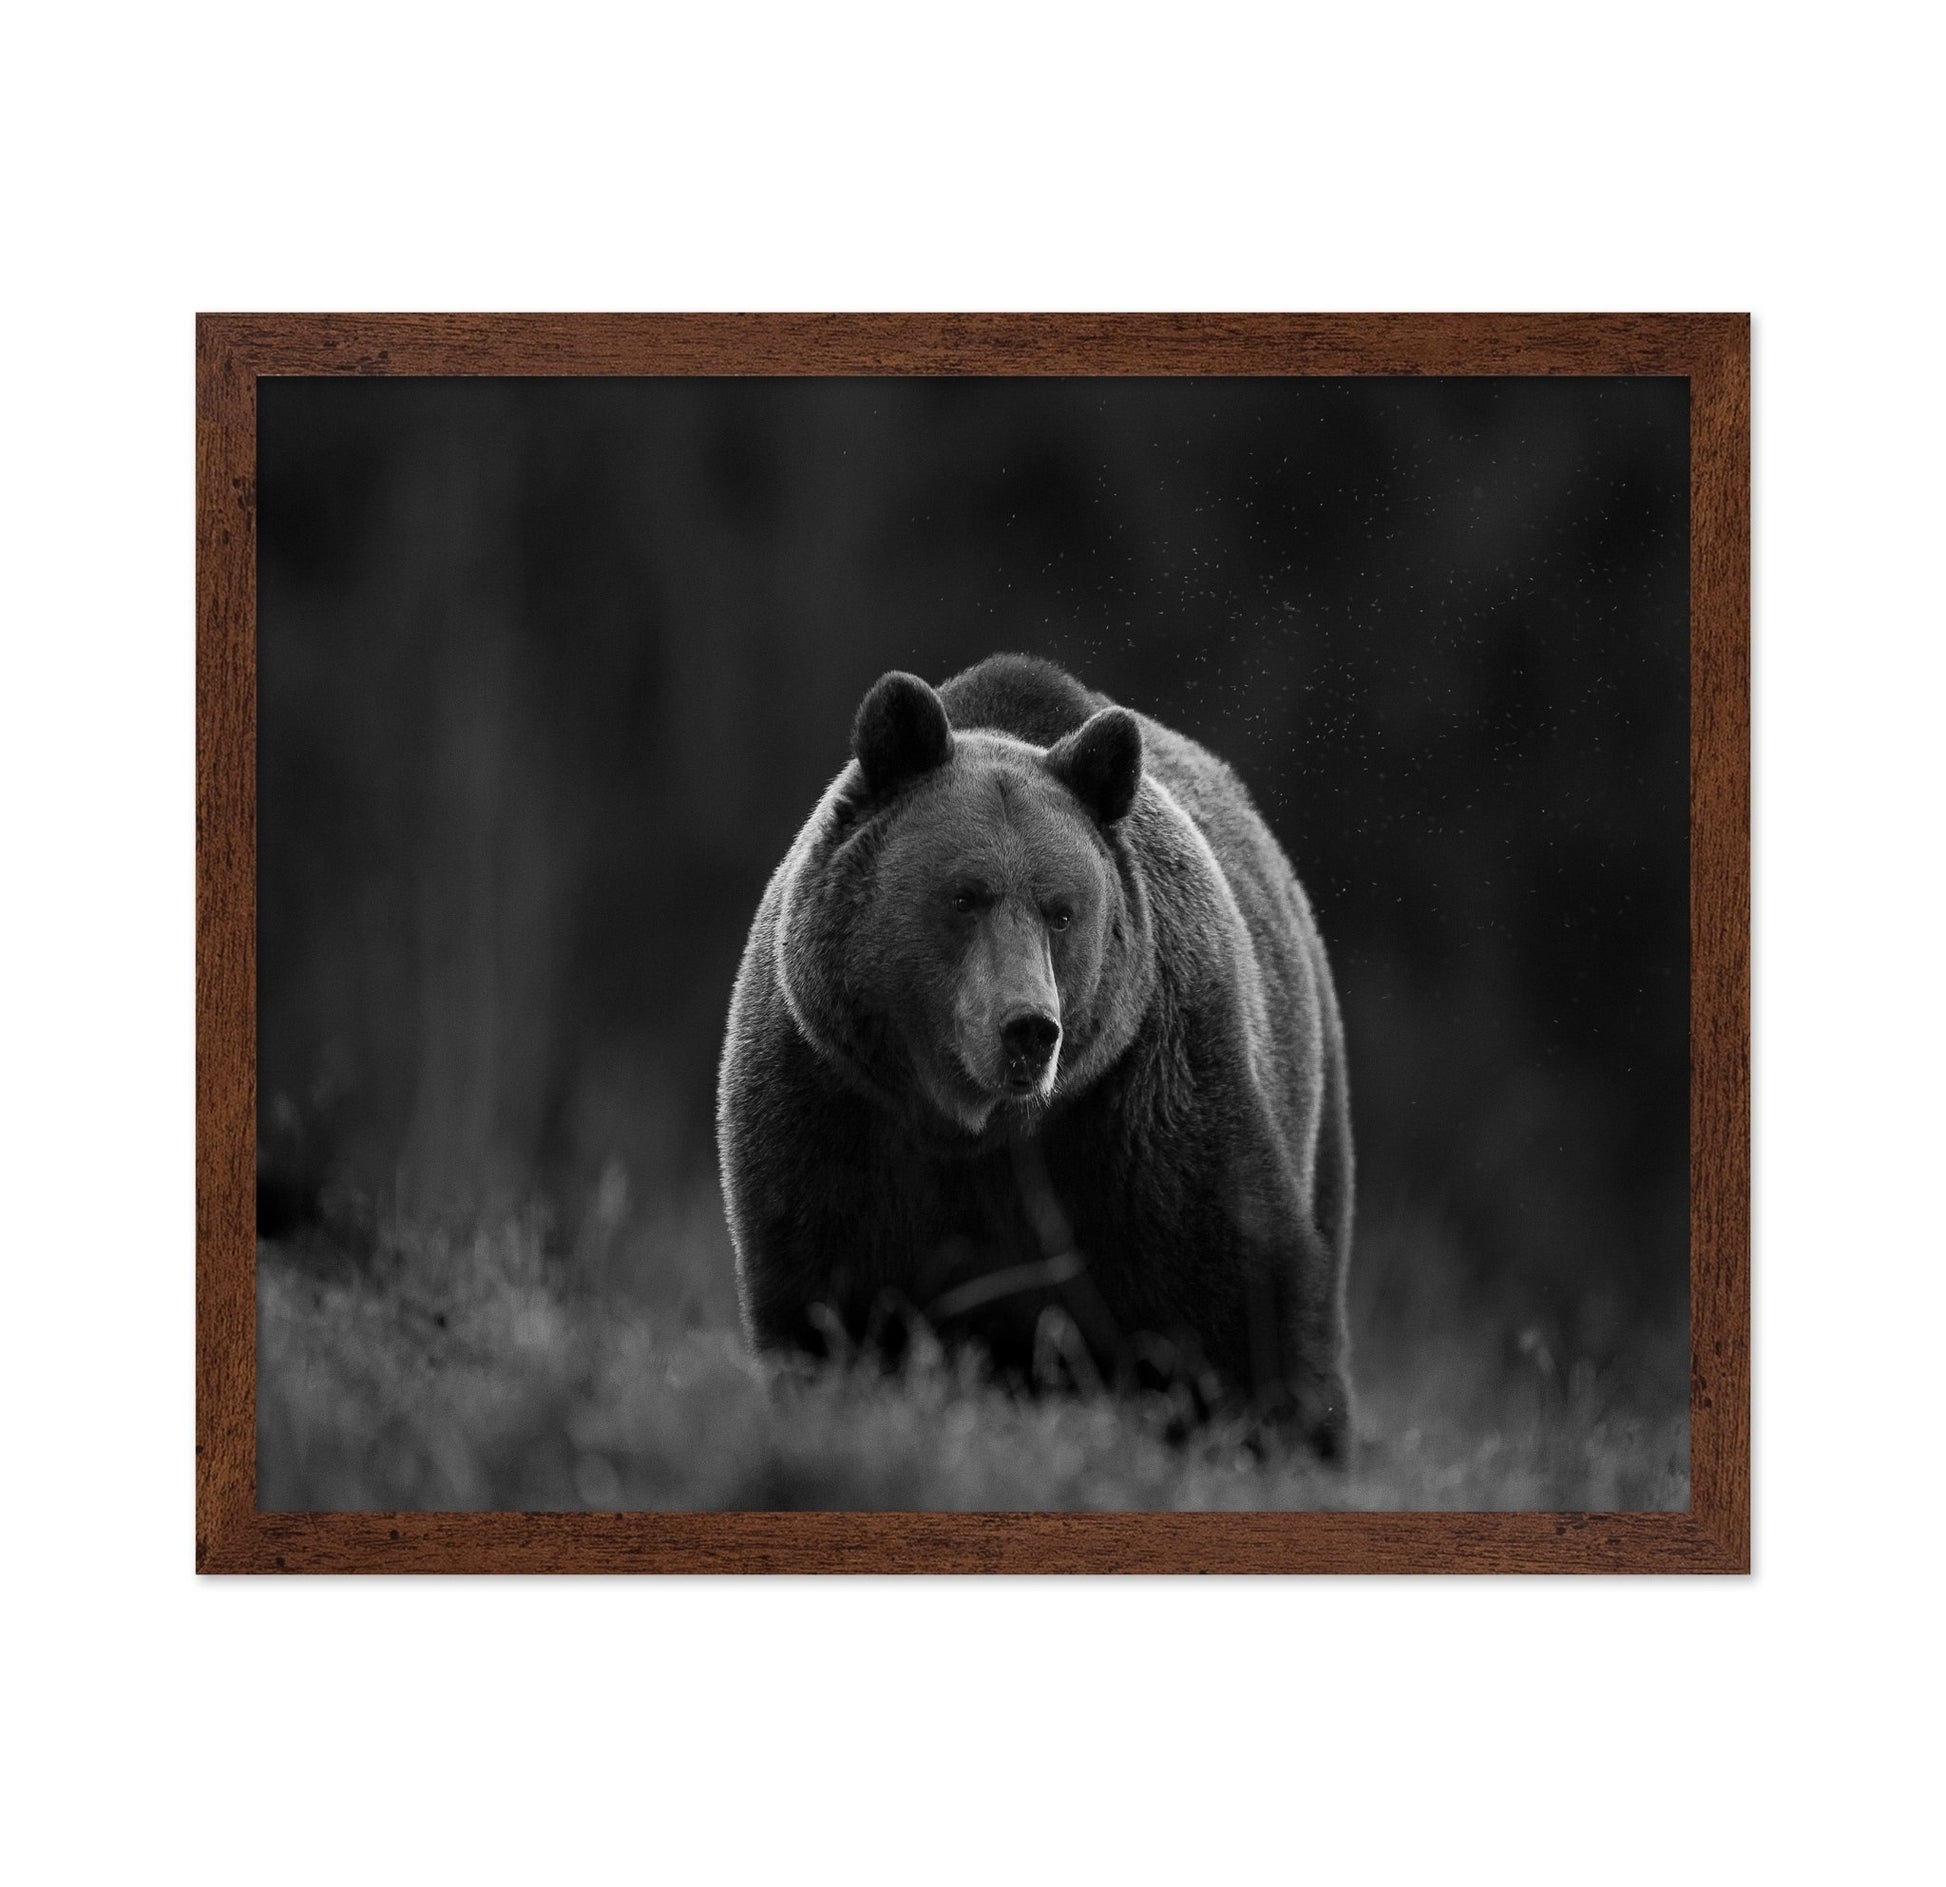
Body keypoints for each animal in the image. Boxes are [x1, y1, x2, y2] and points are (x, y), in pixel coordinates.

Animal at [717, 653, 1354, 1458]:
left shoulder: (1144, 1107)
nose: (1029, 1028)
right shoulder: (831, 1109)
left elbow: (1239, 1299)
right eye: (964, 896)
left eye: (1062, 910)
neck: (975, 1129)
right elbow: (827, 1312)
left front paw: (1287, 1435)